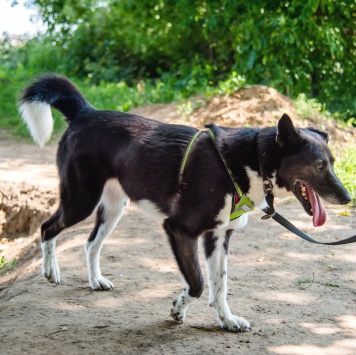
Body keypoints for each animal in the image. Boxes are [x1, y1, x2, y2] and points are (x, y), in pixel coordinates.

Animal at [18, 73, 350, 332]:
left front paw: (227, 321)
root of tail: (85, 112)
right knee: (47, 228)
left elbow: (220, 286)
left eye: (334, 163)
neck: (249, 160)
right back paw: (50, 271)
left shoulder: (218, 236)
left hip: (113, 208)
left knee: (89, 243)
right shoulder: (180, 230)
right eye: (319, 165)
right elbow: (199, 283)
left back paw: (96, 280)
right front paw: (178, 308)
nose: (347, 197)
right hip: (81, 200)